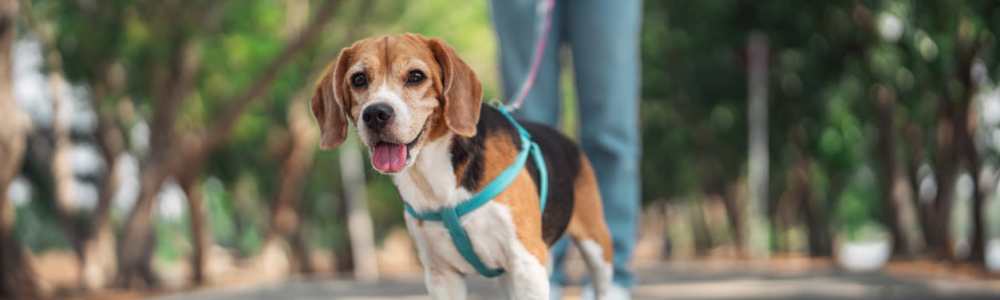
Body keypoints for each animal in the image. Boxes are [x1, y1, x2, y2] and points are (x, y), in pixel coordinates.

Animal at [308, 34, 612, 298]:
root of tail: (563, 138)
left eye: (416, 76)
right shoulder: (441, 275)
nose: (376, 114)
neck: (434, 174)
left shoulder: (526, 263)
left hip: (597, 247)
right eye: (358, 79)